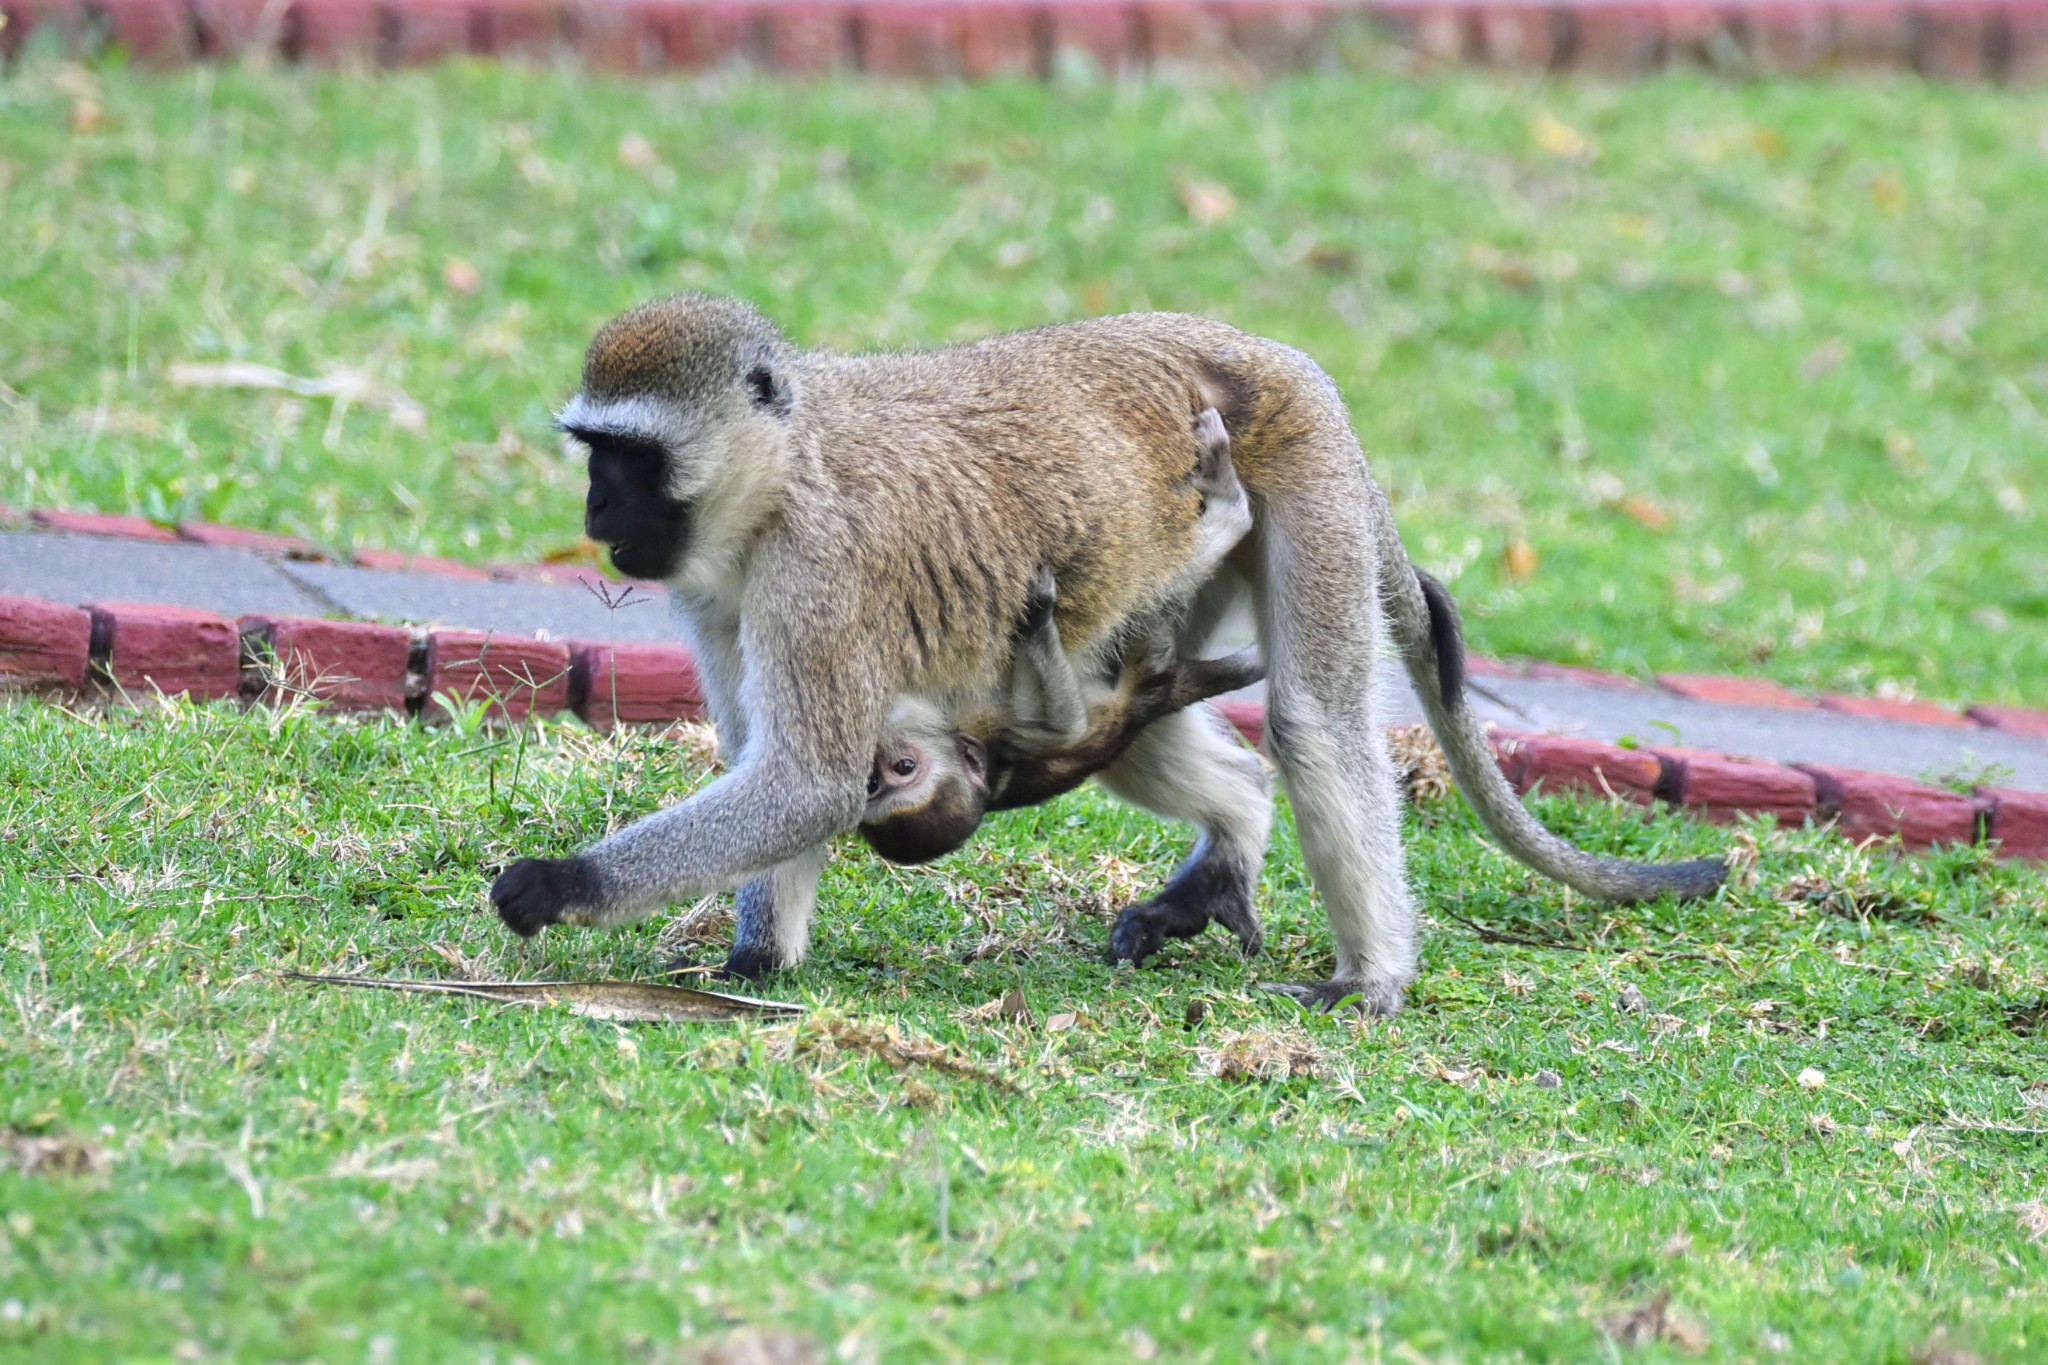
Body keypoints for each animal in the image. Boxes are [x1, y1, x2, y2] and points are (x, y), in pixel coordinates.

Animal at [851, 405, 1253, 863]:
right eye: (875, 783)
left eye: (902, 769)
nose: (875, 759)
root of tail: (1160, 695)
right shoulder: (992, 730)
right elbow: (1064, 729)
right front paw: (1039, 616)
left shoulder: (988, 725)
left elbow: (1063, 729)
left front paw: (1038, 615)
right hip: (1150, 654)